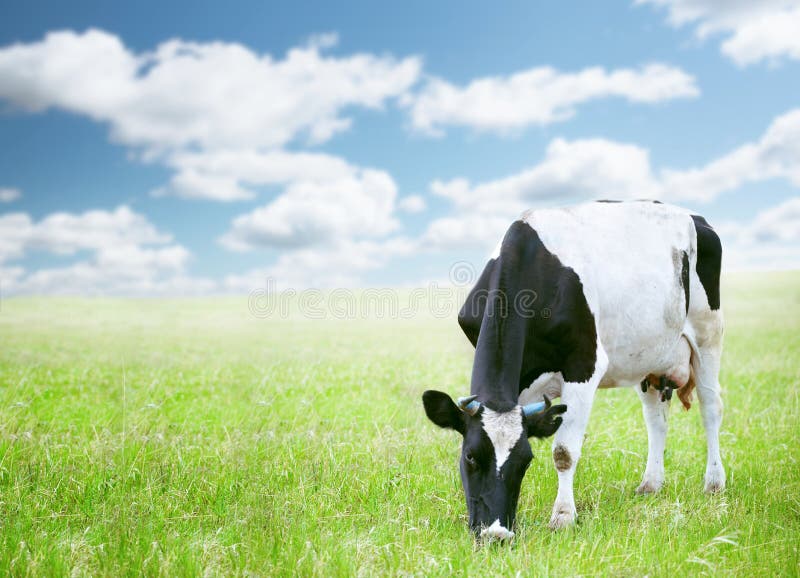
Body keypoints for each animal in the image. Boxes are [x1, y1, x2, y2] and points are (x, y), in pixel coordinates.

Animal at [424, 200, 724, 536]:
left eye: (525, 461)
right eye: (470, 456)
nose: (496, 533)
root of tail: (695, 217)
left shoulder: (583, 364)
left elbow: (564, 451)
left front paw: (563, 516)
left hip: (708, 333)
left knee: (711, 407)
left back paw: (714, 482)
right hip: (649, 359)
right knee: (656, 419)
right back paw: (650, 484)